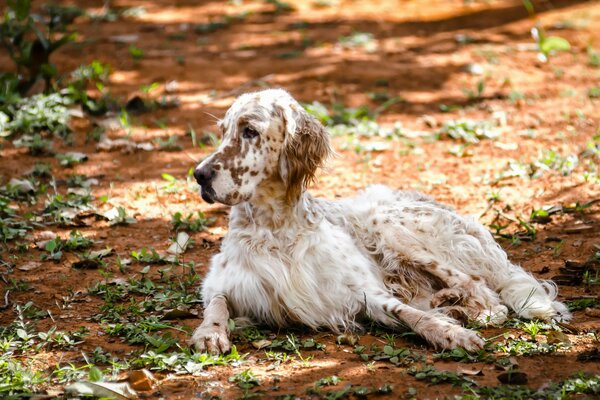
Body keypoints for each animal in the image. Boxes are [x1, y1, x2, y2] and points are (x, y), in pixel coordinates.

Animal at [190, 88, 568, 354]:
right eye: (223, 132)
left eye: (250, 131)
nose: (199, 175)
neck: (275, 228)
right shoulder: (223, 281)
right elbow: (217, 305)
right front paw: (210, 334)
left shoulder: (362, 291)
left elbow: (410, 314)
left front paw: (449, 333)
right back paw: (449, 303)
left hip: (384, 222)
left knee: (487, 295)